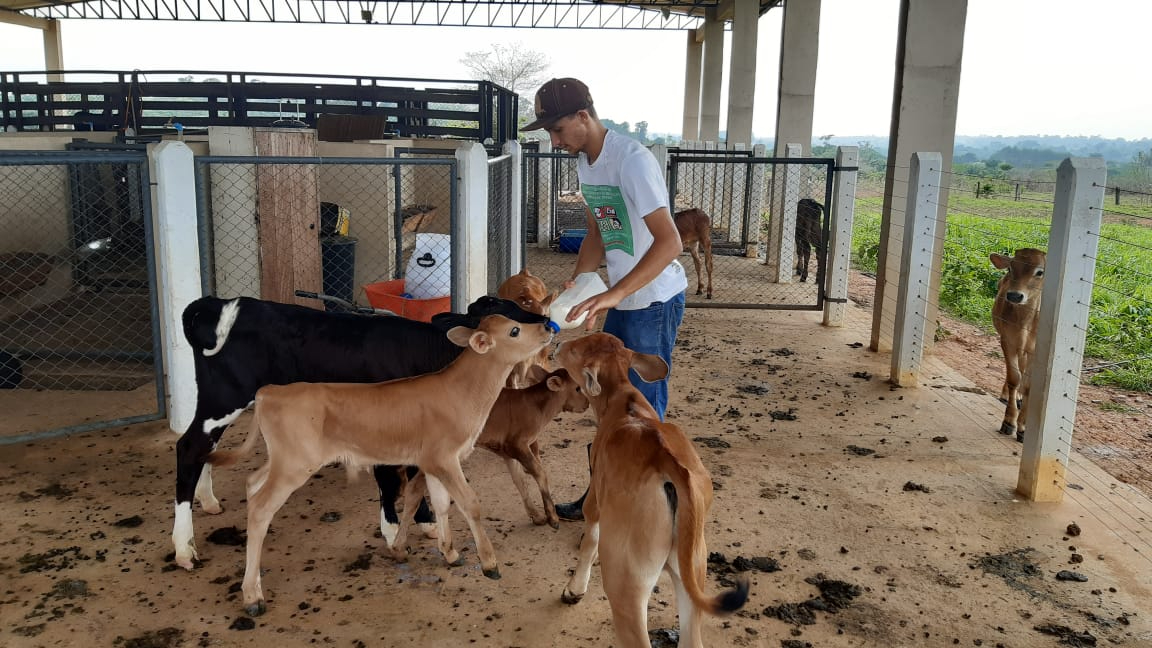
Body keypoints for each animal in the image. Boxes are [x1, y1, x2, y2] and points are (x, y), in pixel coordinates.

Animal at [207, 313, 552, 613]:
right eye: (514, 330)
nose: (547, 326)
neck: (464, 393)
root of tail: (269, 392)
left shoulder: (432, 461)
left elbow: (436, 503)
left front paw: (448, 553)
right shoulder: (444, 457)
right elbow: (470, 504)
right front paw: (489, 563)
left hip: (282, 459)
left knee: (252, 483)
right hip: (294, 464)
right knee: (261, 508)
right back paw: (252, 596)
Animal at [552, 332, 751, 645]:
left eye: (574, 350)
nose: (557, 343)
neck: (620, 399)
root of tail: (666, 461)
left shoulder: (595, 498)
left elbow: (589, 540)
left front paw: (574, 589)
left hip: (625, 578)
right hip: (694, 565)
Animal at [986, 245, 1050, 438]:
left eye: (1040, 272)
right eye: (1010, 268)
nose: (1014, 296)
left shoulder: (1035, 350)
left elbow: (1029, 385)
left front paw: (1023, 426)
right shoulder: (1007, 341)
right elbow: (1014, 378)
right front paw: (1009, 421)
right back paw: (1008, 395)